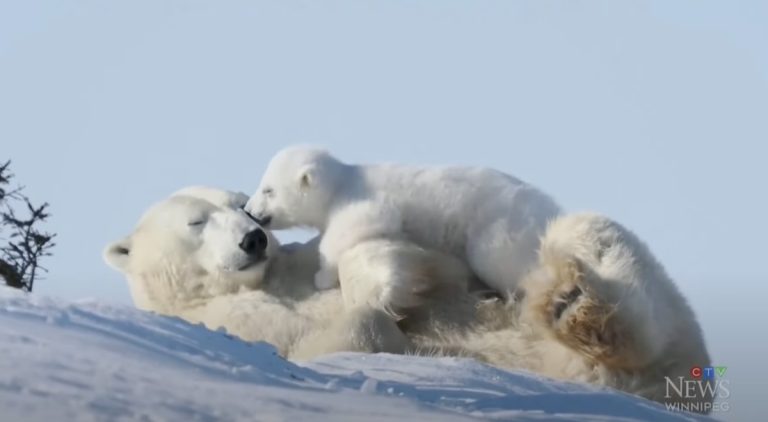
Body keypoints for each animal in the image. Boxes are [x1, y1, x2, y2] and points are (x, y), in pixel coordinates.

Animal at [106, 187, 712, 413]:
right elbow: (314, 345)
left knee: (595, 236)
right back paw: (573, 308)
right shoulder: (235, 322)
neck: (260, 283)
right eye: (195, 221)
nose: (253, 238)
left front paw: (393, 278)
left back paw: (570, 298)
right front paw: (389, 322)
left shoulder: (303, 265)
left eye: (242, 205)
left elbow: (416, 262)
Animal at [243, 146, 561, 297]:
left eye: (268, 190)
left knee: (501, 260)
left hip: (499, 227)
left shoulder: (363, 199)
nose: (248, 209)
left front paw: (322, 276)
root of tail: (549, 209)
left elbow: (358, 223)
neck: (340, 183)